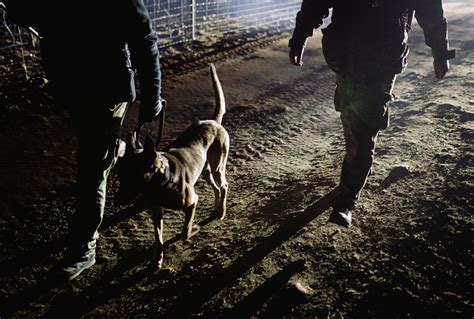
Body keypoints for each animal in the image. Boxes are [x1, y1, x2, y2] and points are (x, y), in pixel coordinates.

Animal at [117, 63, 231, 268]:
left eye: (133, 176)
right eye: (120, 175)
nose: (116, 201)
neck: (162, 180)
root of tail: (214, 122)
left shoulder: (193, 201)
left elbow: (185, 232)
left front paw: (194, 228)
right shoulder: (156, 211)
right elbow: (158, 237)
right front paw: (157, 259)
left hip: (217, 166)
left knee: (224, 186)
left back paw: (221, 211)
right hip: (206, 171)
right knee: (217, 188)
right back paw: (216, 208)